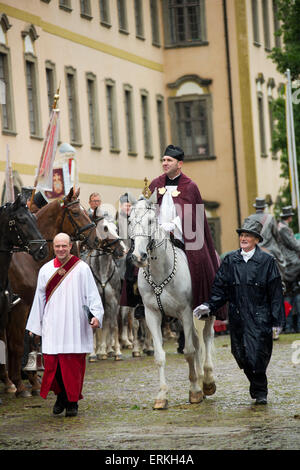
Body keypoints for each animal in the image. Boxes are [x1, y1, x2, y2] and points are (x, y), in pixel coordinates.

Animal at [1, 187, 100, 396]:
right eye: (76, 212)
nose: (95, 239)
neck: (28, 261)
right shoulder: (20, 307)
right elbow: (17, 344)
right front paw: (19, 384)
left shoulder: (32, 306)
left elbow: (34, 339)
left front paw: (33, 380)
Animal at [129, 190, 216, 408]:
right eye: (130, 220)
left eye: (151, 221)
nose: (138, 256)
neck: (161, 271)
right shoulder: (152, 314)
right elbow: (160, 356)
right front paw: (162, 395)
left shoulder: (185, 312)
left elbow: (189, 351)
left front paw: (194, 391)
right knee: (197, 341)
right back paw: (200, 378)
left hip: (206, 312)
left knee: (206, 338)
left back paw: (207, 381)